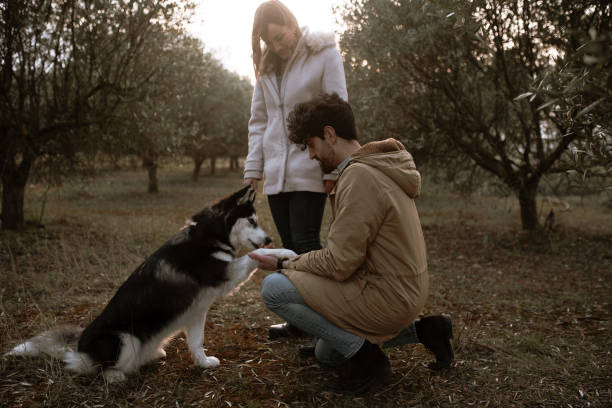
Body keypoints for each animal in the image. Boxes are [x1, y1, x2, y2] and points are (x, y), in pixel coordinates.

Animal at [3, 185, 300, 382]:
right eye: (251, 220)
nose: (268, 238)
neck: (209, 237)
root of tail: (79, 348)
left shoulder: (198, 310)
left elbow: (197, 341)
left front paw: (203, 363)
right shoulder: (225, 273)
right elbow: (251, 257)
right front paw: (285, 252)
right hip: (123, 339)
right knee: (89, 367)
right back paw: (114, 376)